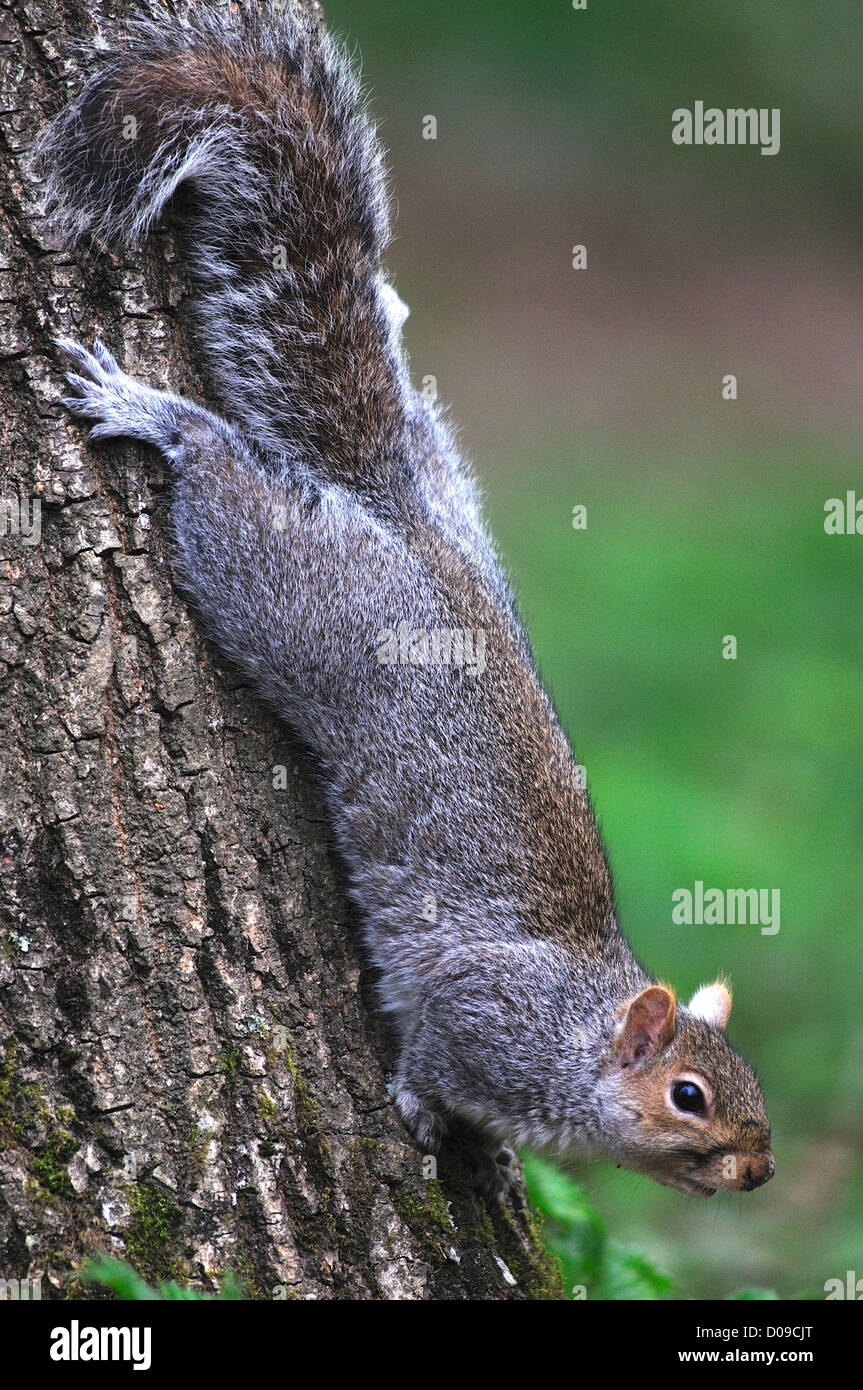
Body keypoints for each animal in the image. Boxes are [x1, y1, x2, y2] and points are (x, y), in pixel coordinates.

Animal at [35, 2, 772, 1206]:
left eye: (750, 1090)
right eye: (689, 1096)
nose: (756, 1171)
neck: (575, 1030)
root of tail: (407, 526)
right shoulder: (478, 1019)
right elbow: (430, 1052)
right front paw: (428, 1111)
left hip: (429, 481)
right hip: (284, 588)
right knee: (222, 483)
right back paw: (158, 413)